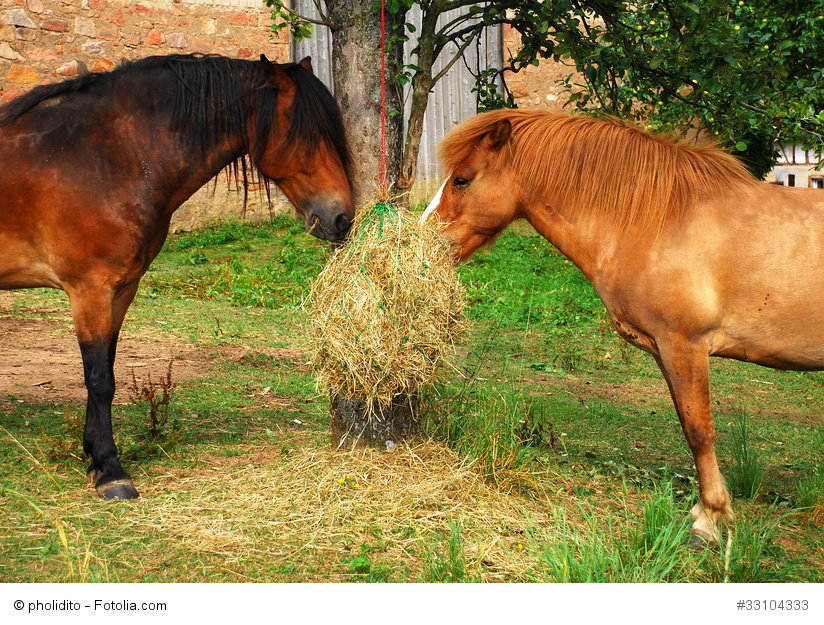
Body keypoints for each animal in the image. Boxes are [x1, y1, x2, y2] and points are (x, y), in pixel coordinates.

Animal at [0, 53, 353, 500]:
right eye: (306, 135)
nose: (341, 218)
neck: (102, 156)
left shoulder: (121, 290)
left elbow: (106, 368)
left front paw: (94, 458)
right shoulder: (89, 289)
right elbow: (99, 378)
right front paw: (112, 472)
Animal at [423, 109, 824, 544]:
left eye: (462, 179)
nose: (422, 237)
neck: (663, 219)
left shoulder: (685, 346)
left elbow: (699, 430)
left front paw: (710, 520)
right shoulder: (667, 352)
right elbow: (688, 423)